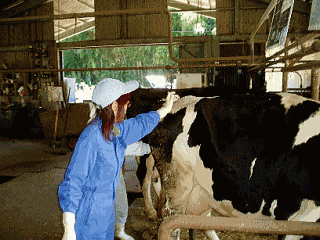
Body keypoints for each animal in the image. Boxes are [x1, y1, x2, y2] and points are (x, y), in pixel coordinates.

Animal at [126, 90, 320, 240]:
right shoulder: (294, 214)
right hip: (177, 183)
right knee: (164, 208)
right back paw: (152, 212)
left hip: (203, 190)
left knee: (200, 219)